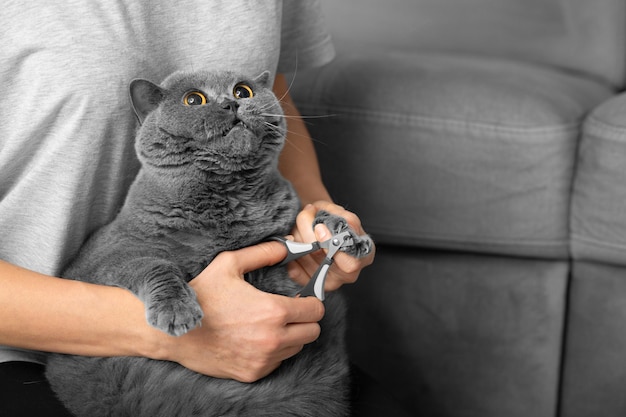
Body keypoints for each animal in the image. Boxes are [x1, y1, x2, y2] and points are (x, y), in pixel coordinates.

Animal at [46, 69, 372, 416]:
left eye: (243, 91)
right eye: (194, 100)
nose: (231, 103)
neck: (232, 197)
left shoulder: (285, 219)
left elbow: (310, 216)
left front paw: (349, 235)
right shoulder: (103, 258)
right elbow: (154, 264)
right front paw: (177, 312)